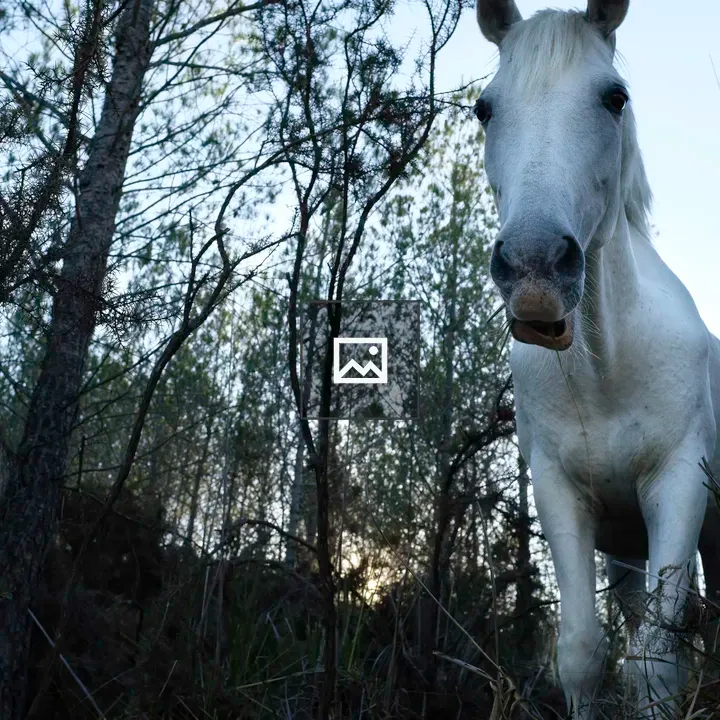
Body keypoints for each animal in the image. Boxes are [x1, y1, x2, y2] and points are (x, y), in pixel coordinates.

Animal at [473, 1, 720, 717]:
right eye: (484, 108)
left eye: (615, 98)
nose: (534, 271)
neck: (604, 369)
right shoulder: (561, 494)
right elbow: (584, 654)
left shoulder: (677, 483)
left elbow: (656, 663)